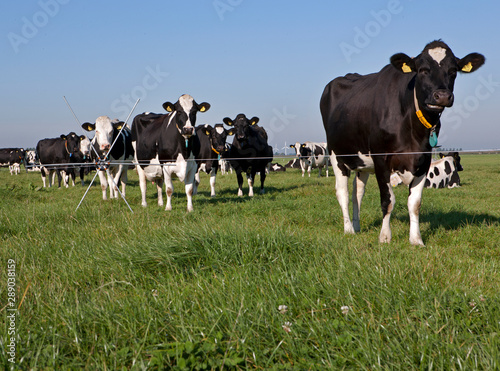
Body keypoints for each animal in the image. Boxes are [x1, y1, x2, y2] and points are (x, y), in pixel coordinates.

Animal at [320, 40, 484, 247]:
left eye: (453, 70)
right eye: (422, 70)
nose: (442, 96)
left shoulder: (423, 160)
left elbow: (414, 204)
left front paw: (416, 239)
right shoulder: (381, 160)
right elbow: (387, 200)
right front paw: (385, 237)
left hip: (362, 161)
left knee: (358, 193)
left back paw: (357, 226)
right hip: (336, 155)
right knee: (342, 193)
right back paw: (348, 229)